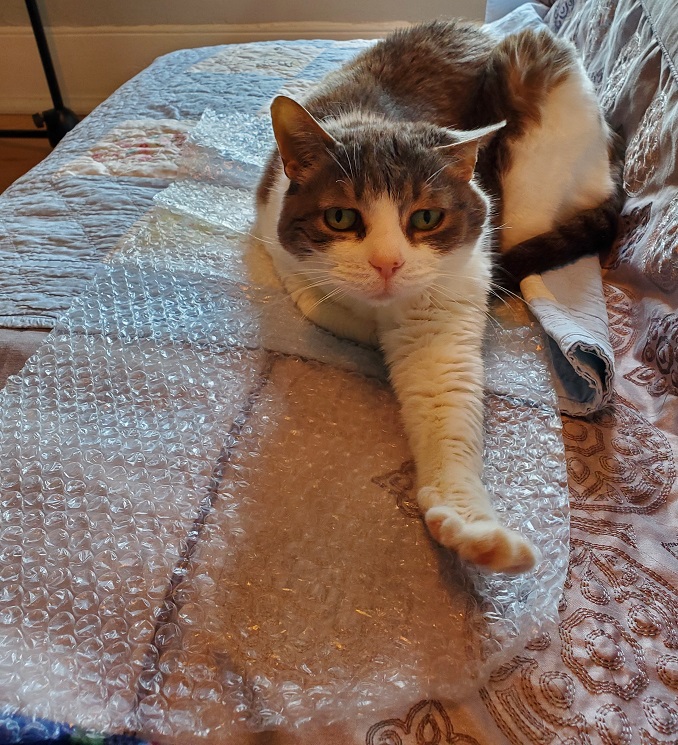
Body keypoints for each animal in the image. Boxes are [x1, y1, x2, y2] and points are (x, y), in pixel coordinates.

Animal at [254, 20, 620, 572]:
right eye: (340, 218)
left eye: (426, 218)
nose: (387, 263)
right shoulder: (282, 254)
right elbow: (322, 303)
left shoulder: (451, 299)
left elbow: (445, 398)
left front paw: (469, 523)